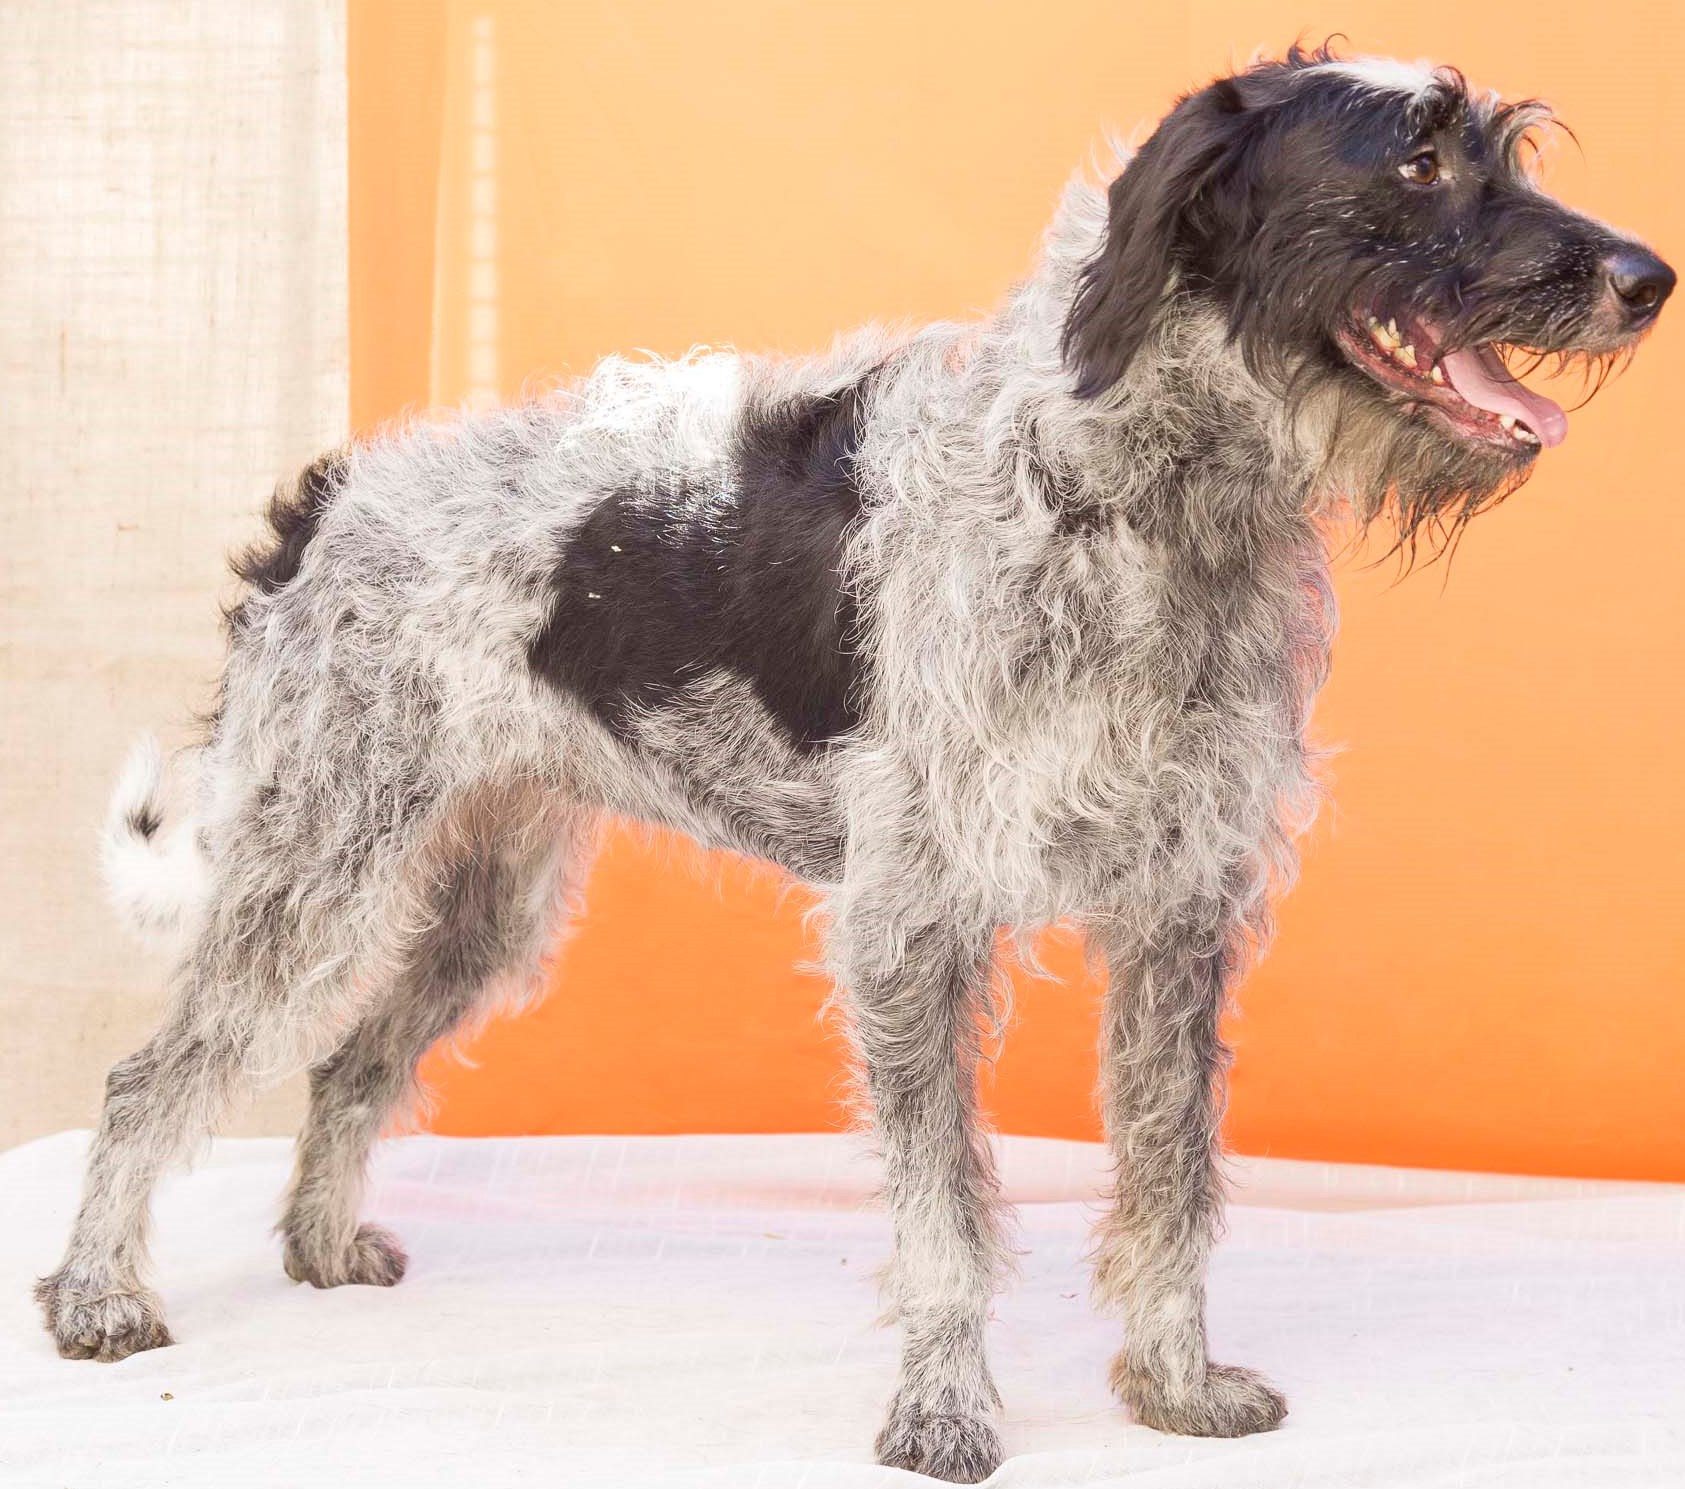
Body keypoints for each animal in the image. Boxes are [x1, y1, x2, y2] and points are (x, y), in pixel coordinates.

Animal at [36, 43, 1671, 1475]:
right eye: (1417, 159)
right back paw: (99, 1292)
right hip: (312, 869)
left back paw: (314, 1244)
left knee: (350, 1059)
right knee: (147, 1077)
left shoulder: (1177, 917)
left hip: (481, 905)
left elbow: (1172, 1179)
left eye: (1507, 151)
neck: (1134, 506)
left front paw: (1172, 1385)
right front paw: (944, 1418)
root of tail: (328, 494)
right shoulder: (914, 925)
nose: (1647, 279)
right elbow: (946, 1211)